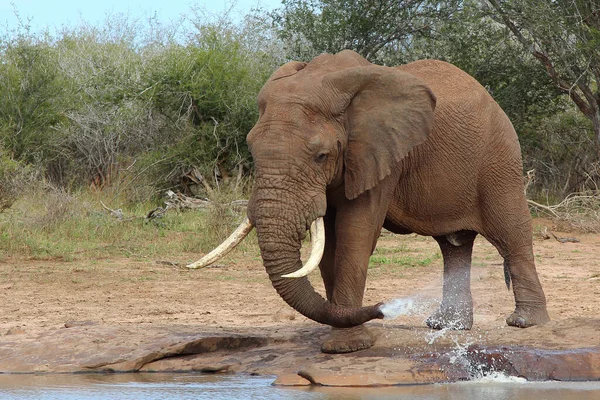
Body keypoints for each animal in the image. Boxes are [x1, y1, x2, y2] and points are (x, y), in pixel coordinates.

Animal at [190, 50, 552, 354]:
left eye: (321, 156)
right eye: (252, 149)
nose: (382, 309)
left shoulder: (379, 155)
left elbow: (355, 234)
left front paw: (346, 347)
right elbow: (329, 244)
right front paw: (344, 337)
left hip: (499, 156)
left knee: (511, 232)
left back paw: (524, 322)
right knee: (454, 245)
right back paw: (446, 326)